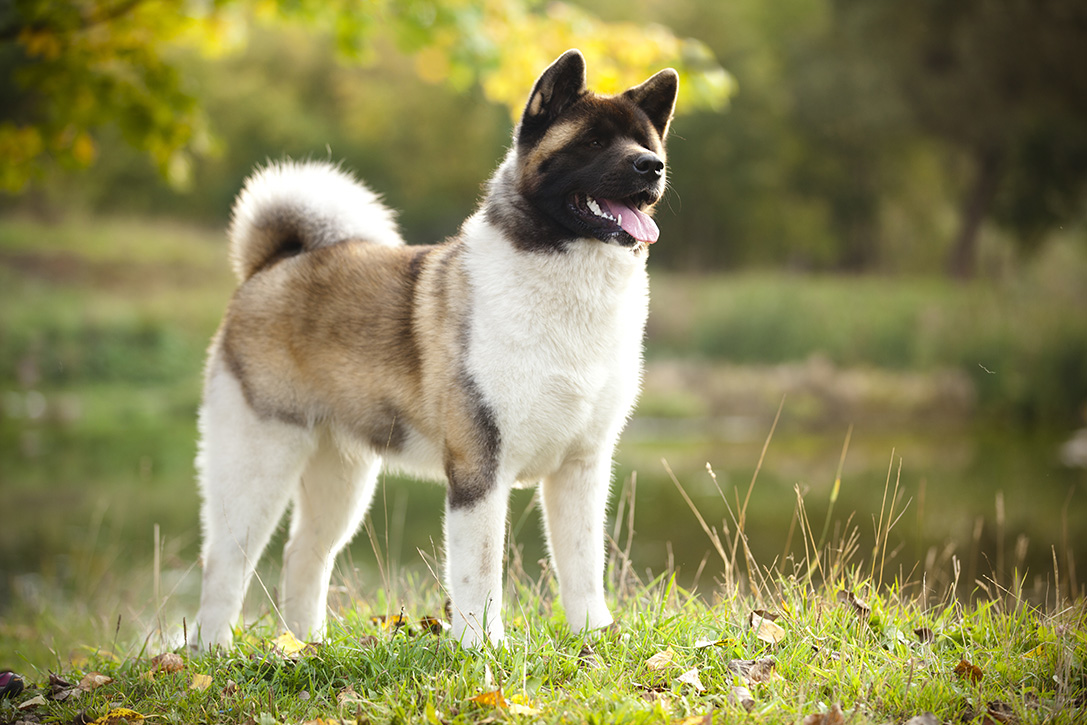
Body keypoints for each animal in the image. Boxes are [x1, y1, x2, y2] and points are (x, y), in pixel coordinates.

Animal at [191, 51, 673, 647]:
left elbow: (583, 565)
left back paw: (304, 647)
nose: (652, 167)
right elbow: (480, 572)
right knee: (226, 565)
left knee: (304, 554)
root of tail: (272, 265)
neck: (569, 281)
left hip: (340, 476)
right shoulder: (478, 469)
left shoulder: (582, 467)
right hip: (257, 465)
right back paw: (212, 655)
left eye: (644, 141)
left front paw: (594, 636)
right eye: (592, 142)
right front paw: (482, 648)